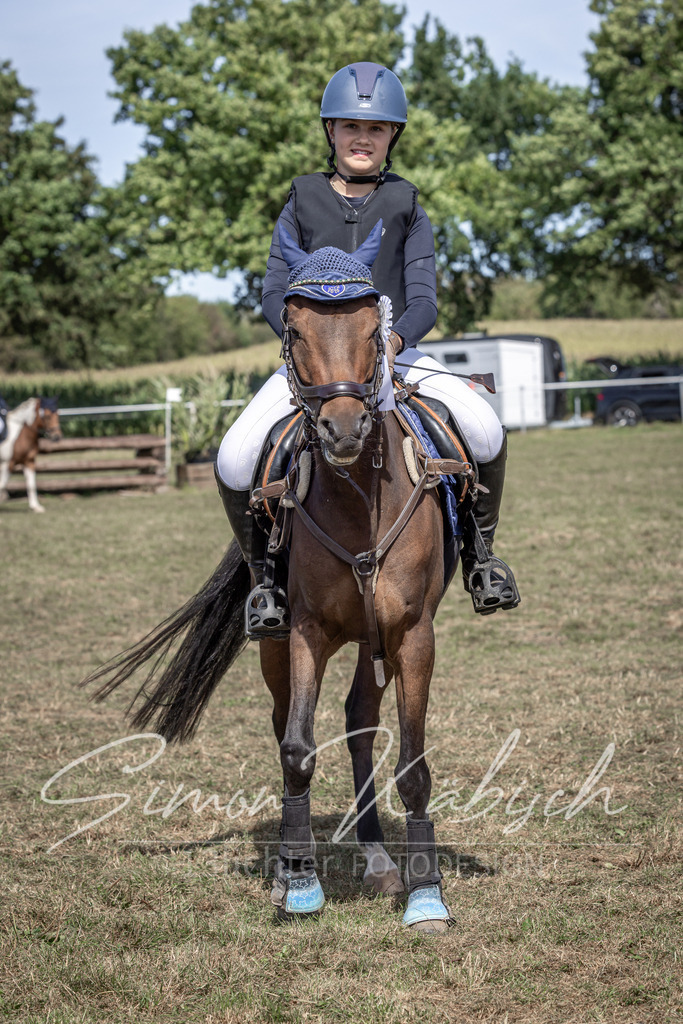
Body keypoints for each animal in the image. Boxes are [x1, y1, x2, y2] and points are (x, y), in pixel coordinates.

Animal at [85, 226, 473, 932]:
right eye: (293, 328)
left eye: (375, 325)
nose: (342, 430)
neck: (355, 498)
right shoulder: (305, 632)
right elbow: (297, 749)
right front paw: (299, 883)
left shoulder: (412, 634)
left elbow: (411, 764)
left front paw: (426, 893)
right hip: (279, 640)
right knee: (286, 723)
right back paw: (301, 866)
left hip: (373, 639)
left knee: (360, 720)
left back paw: (379, 858)